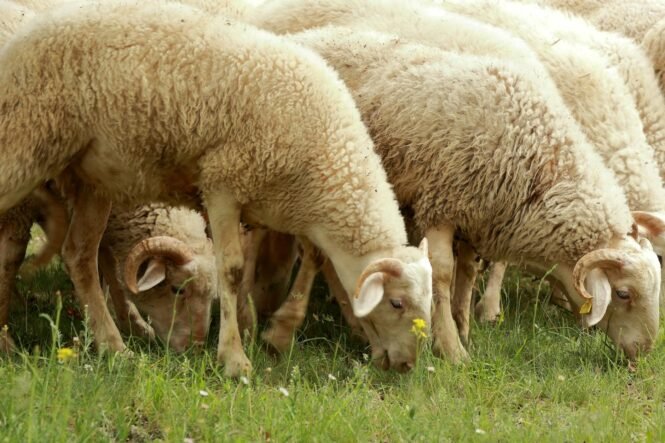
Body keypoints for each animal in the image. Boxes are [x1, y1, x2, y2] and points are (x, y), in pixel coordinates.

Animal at [0, 1, 432, 375]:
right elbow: (235, 270)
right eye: (396, 303)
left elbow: (307, 259)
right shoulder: (223, 185)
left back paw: (114, 346)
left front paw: (271, 331)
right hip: (25, 141)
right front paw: (235, 358)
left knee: (79, 255)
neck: (325, 159)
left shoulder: (275, 206)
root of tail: (31, 29)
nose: (406, 365)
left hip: (95, 177)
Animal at [252, 0, 664, 361]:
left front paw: (464, 324)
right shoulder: (441, 200)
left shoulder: (482, 209)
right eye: (623, 294)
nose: (644, 352)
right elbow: (444, 271)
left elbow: (469, 266)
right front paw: (452, 345)